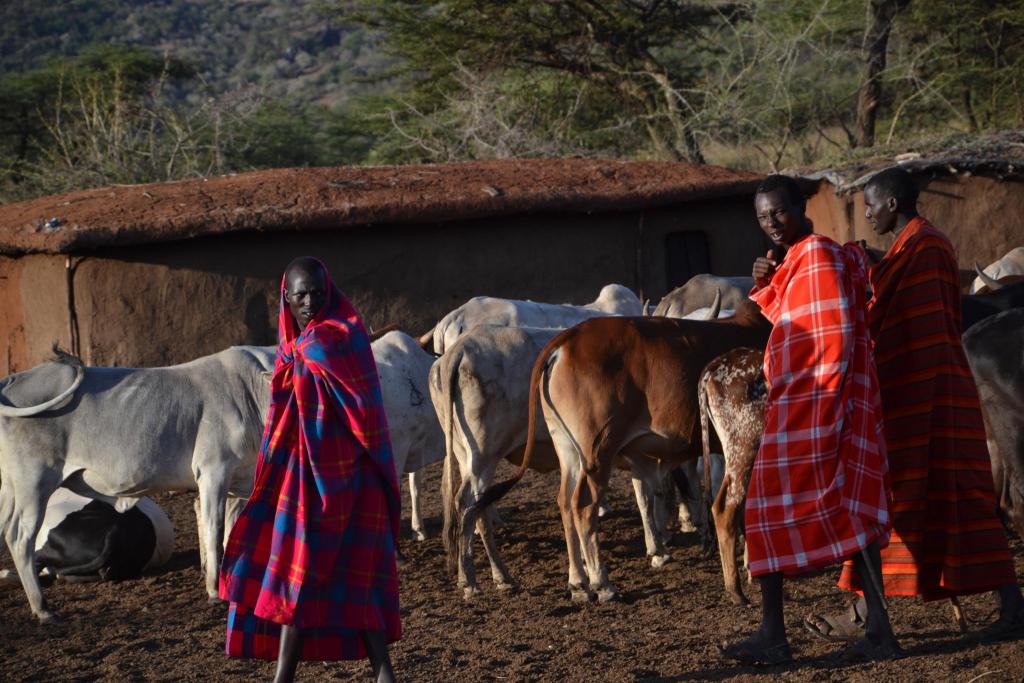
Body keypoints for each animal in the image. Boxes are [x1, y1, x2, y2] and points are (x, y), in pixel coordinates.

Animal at [471, 301, 770, 602]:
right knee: (583, 506)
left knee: (565, 503)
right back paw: (602, 583)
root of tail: (565, 340)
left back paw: (578, 582)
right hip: (597, 449)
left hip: (569, 450)